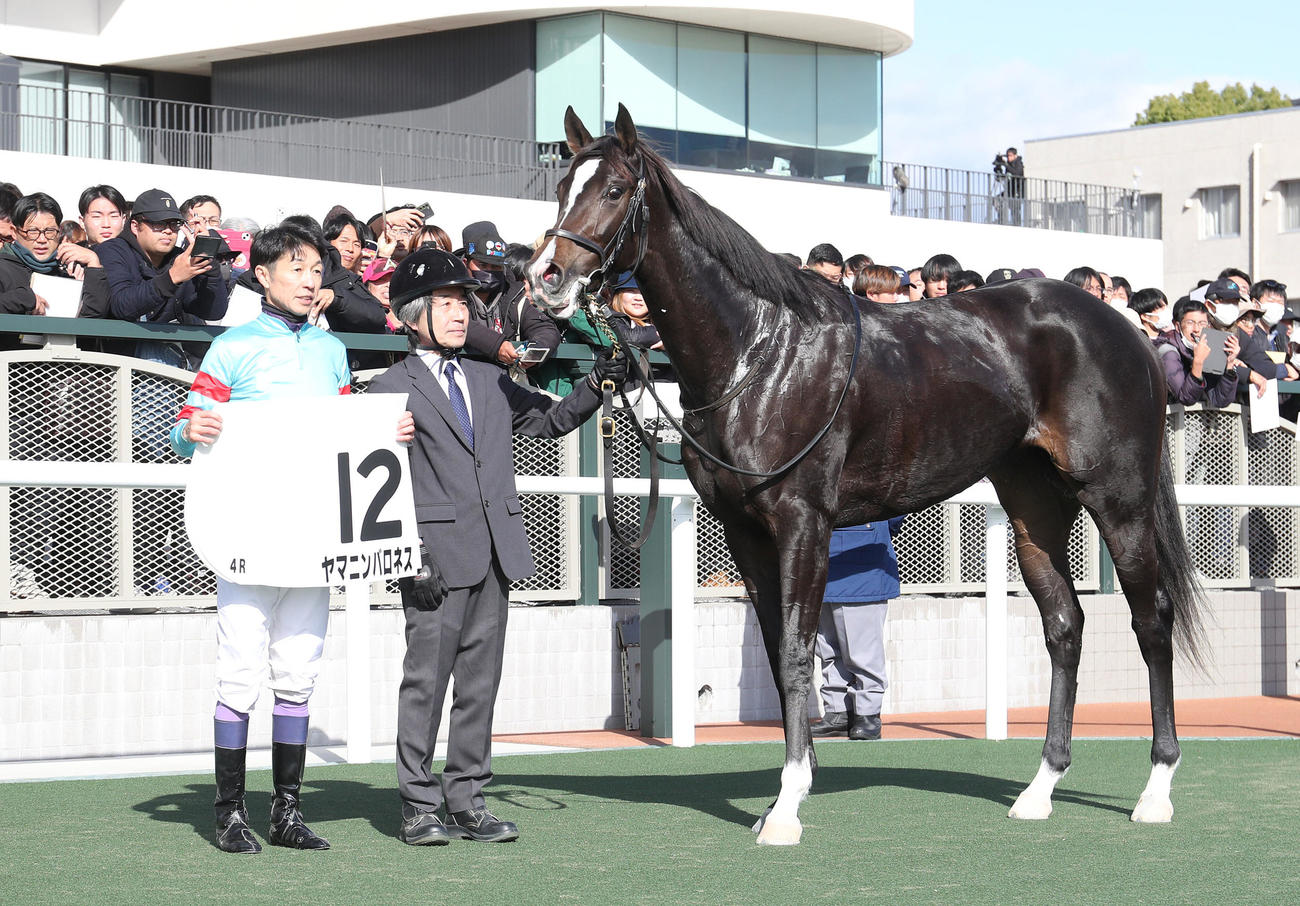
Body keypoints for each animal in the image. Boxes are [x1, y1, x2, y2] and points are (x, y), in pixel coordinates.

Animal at [526, 104, 1204, 845]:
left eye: (615, 190)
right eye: (562, 187)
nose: (546, 276)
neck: (758, 353)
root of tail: (1127, 330)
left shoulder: (803, 522)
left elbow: (797, 650)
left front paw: (788, 806)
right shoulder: (744, 531)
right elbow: (780, 650)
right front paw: (786, 789)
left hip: (1120, 498)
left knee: (1151, 621)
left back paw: (1158, 789)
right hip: (1033, 505)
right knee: (1064, 626)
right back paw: (1040, 788)